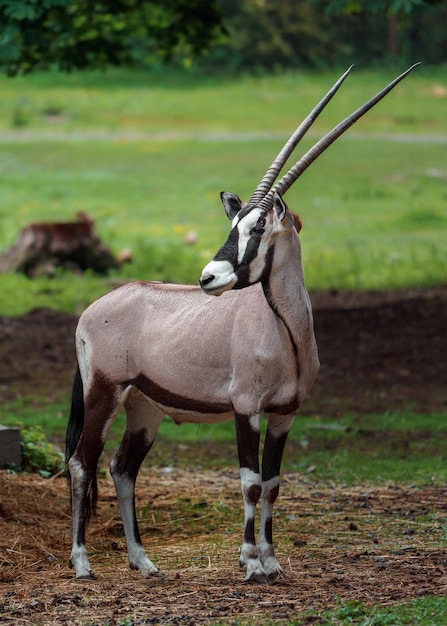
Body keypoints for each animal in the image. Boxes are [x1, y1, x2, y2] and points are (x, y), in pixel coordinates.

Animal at [65, 63, 420, 580]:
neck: (287, 331)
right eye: (233, 225)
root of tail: (91, 311)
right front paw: (250, 562)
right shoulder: (246, 409)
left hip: (145, 408)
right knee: (81, 463)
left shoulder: (286, 414)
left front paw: (271, 561)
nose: (209, 277)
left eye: (258, 227)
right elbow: (250, 482)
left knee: (122, 468)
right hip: (103, 394)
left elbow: (273, 482)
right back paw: (82, 563)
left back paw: (143, 561)